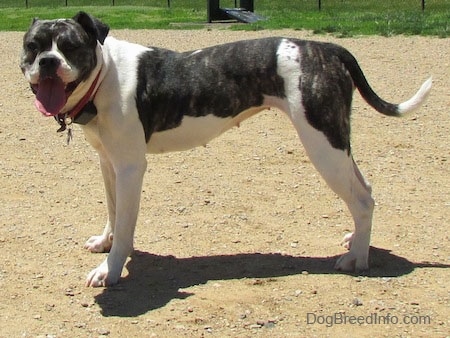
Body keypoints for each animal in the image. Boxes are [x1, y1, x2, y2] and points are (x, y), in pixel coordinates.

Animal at [21, 11, 432, 286]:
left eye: (70, 47)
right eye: (32, 47)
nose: (48, 62)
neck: (104, 76)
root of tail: (326, 47)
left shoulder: (130, 168)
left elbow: (125, 223)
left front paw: (111, 269)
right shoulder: (109, 163)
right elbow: (112, 211)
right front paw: (105, 244)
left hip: (322, 143)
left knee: (361, 199)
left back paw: (357, 258)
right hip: (335, 143)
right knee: (365, 189)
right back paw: (356, 240)